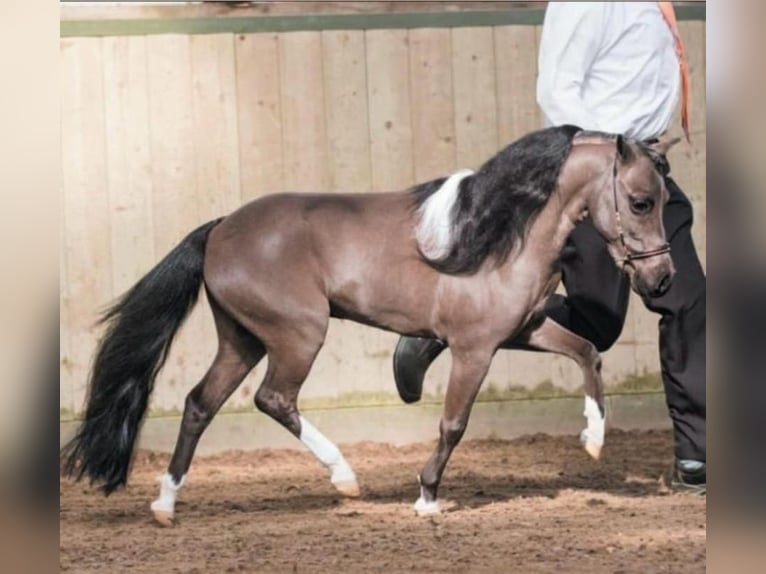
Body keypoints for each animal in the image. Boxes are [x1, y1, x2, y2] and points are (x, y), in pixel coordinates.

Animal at [61, 125, 678, 525]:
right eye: (641, 202)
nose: (662, 279)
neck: (500, 231)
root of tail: (220, 228)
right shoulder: (475, 348)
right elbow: (453, 423)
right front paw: (427, 496)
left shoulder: (521, 332)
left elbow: (587, 352)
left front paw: (593, 441)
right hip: (297, 334)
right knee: (273, 399)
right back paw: (344, 478)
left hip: (242, 337)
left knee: (199, 403)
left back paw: (166, 505)